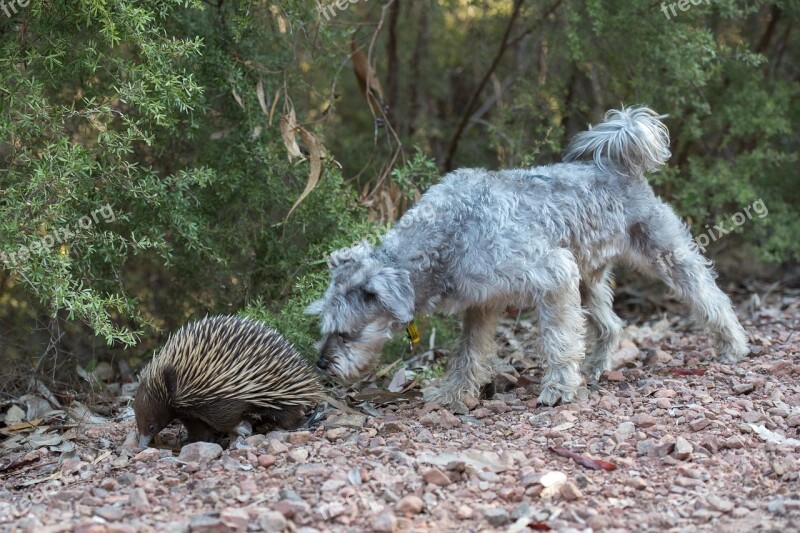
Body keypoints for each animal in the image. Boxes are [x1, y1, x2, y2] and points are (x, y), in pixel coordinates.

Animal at [306, 106, 752, 406]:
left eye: (346, 332)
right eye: (326, 326)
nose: (321, 364)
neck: (449, 235)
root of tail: (617, 164)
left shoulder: (552, 276)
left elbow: (557, 340)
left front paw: (558, 388)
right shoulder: (482, 304)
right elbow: (467, 354)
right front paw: (453, 393)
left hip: (665, 255)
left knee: (712, 298)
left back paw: (733, 347)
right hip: (588, 279)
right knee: (611, 325)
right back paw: (596, 367)